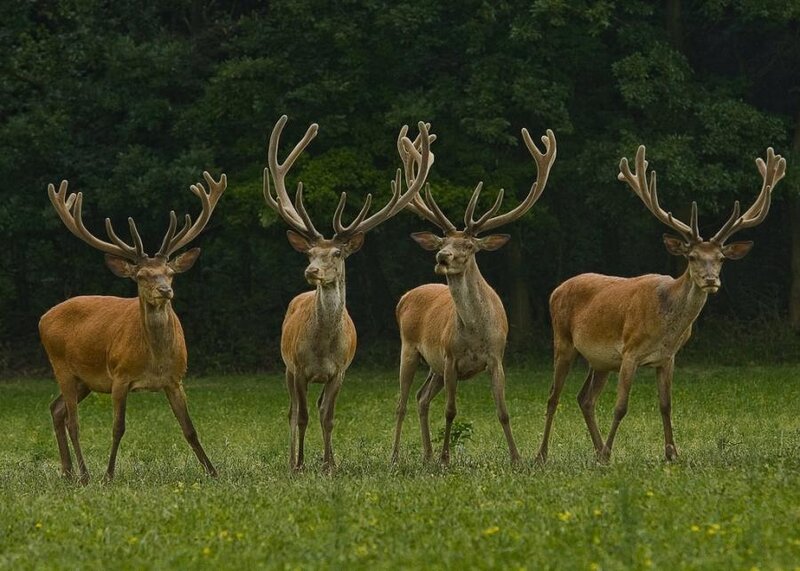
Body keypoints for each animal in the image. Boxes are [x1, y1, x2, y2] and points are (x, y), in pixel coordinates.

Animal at [39, 171, 227, 483]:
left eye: (170, 273)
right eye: (140, 276)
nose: (165, 291)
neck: (154, 361)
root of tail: (43, 318)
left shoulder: (176, 379)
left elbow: (190, 429)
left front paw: (212, 471)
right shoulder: (119, 376)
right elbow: (118, 428)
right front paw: (108, 475)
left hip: (84, 380)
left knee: (57, 409)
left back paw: (66, 471)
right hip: (61, 366)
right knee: (73, 421)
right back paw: (84, 474)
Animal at [263, 115, 434, 471]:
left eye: (338, 253)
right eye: (309, 253)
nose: (312, 272)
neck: (323, 347)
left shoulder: (340, 371)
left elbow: (328, 417)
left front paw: (330, 463)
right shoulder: (298, 368)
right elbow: (301, 417)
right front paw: (300, 465)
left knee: (316, 408)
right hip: (285, 368)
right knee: (292, 412)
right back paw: (291, 459)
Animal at [390, 127, 557, 465]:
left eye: (468, 245)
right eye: (442, 241)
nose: (442, 257)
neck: (475, 332)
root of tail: (405, 297)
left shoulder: (496, 357)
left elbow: (503, 411)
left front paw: (517, 458)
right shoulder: (451, 358)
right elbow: (451, 411)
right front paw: (446, 458)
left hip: (433, 366)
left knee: (421, 398)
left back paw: (426, 456)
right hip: (410, 349)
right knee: (402, 403)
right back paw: (398, 455)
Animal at [536, 145, 786, 464]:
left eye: (721, 258)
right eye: (691, 257)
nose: (711, 280)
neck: (667, 326)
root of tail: (556, 290)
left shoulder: (668, 357)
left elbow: (666, 405)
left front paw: (670, 453)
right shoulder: (630, 351)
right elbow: (621, 406)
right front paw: (613, 450)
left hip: (601, 360)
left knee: (585, 398)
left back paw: (597, 452)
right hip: (563, 341)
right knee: (553, 396)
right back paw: (543, 455)